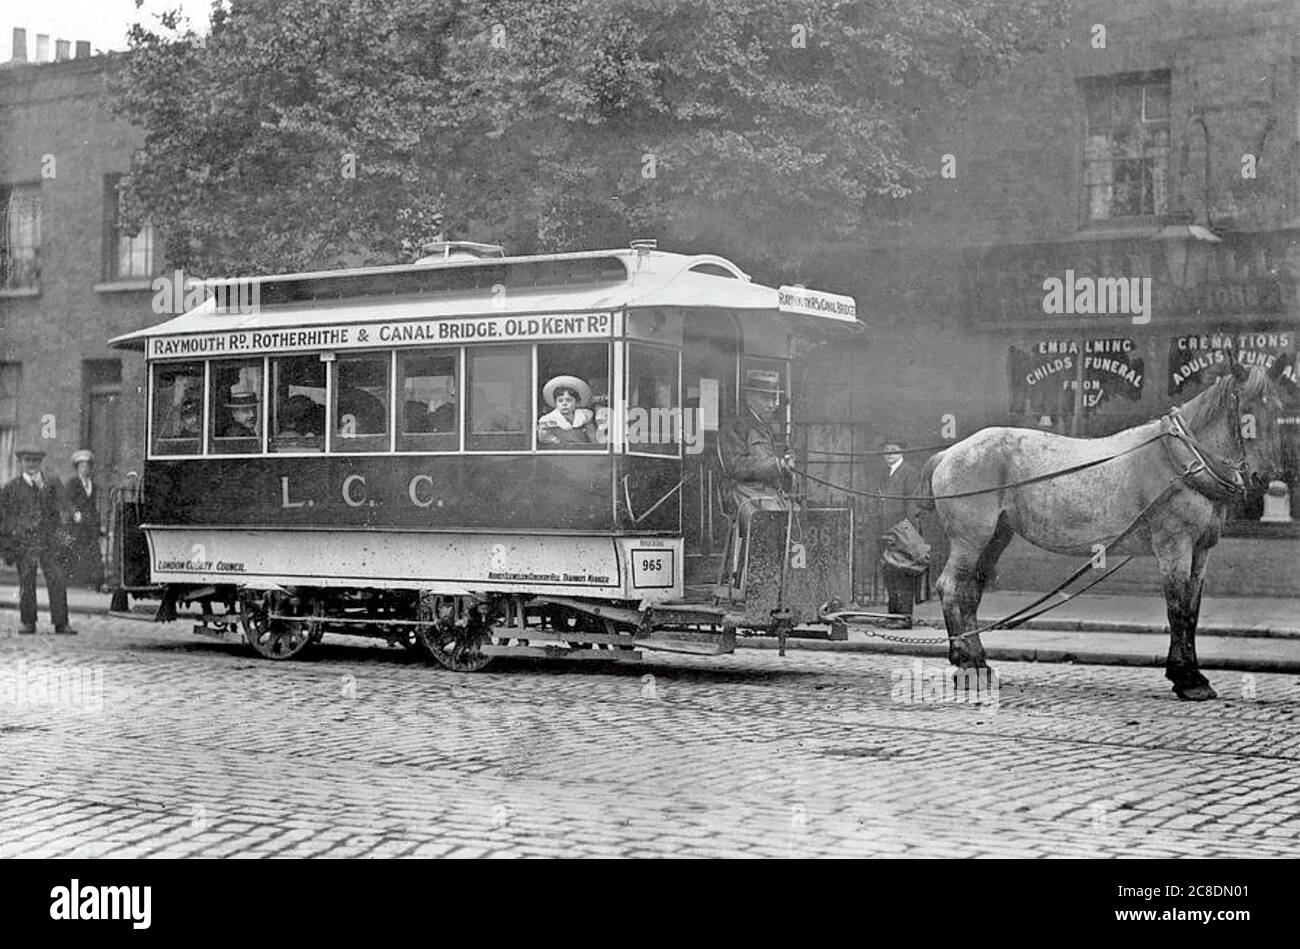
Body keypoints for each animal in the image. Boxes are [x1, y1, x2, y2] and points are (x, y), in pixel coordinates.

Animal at [919, 361, 1286, 701]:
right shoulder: (1175, 547)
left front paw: (1194, 675)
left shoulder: (1201, 551)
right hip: (970, 540)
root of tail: (949, 453)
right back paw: (965, 663)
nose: (1264, 476)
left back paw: (979, 666)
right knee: (950, 587)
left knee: (970, 592)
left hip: (996, 538)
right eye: (1246, 409)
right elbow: (1178, 609)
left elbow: (1192, 612)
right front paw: (1187, 679)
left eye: (1278, 408)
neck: (1182, 461)